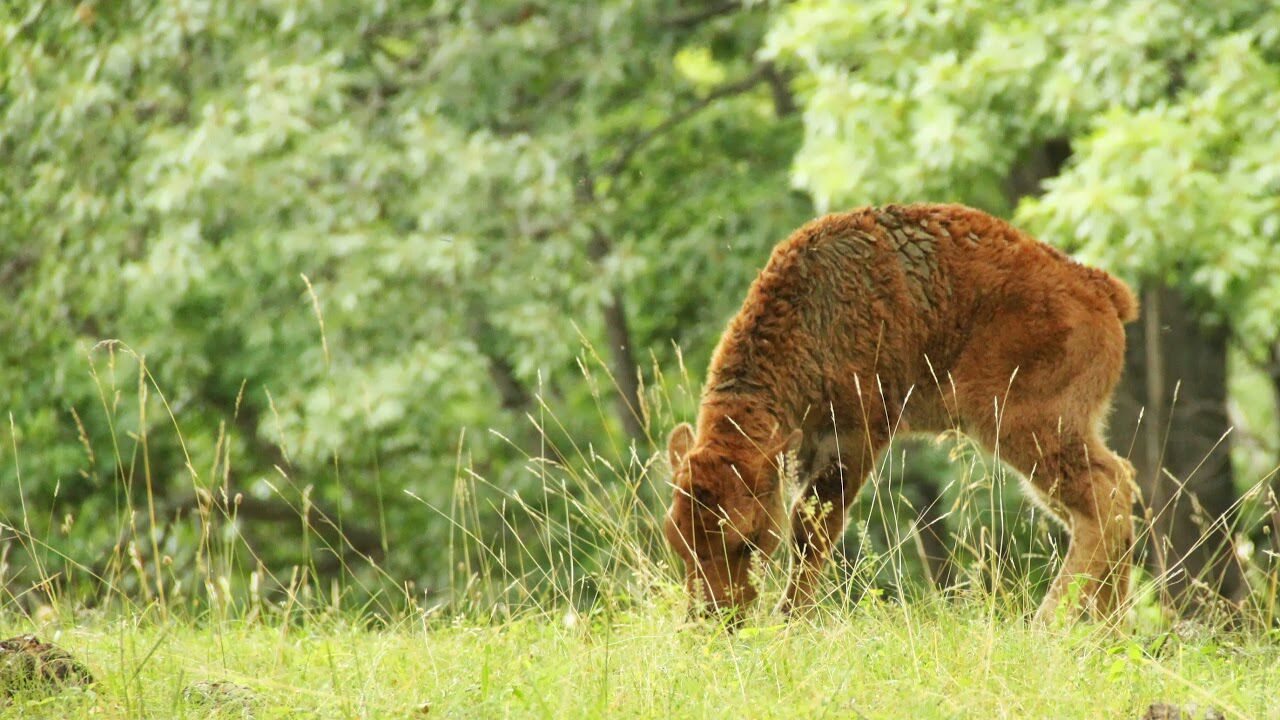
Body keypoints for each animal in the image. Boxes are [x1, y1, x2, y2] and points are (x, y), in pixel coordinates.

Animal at [665, 203, 1136, 622]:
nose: (712, 617)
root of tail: (1099, 288)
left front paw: (790, 618)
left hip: (1022, 424)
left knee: (1104, 494)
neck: (811, 315)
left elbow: (812, 527)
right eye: (677, 540)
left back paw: (1049, 623)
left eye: (746, 541)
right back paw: (1104, 629)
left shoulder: (855, 433)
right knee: (1111, 494)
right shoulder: (806, 443)